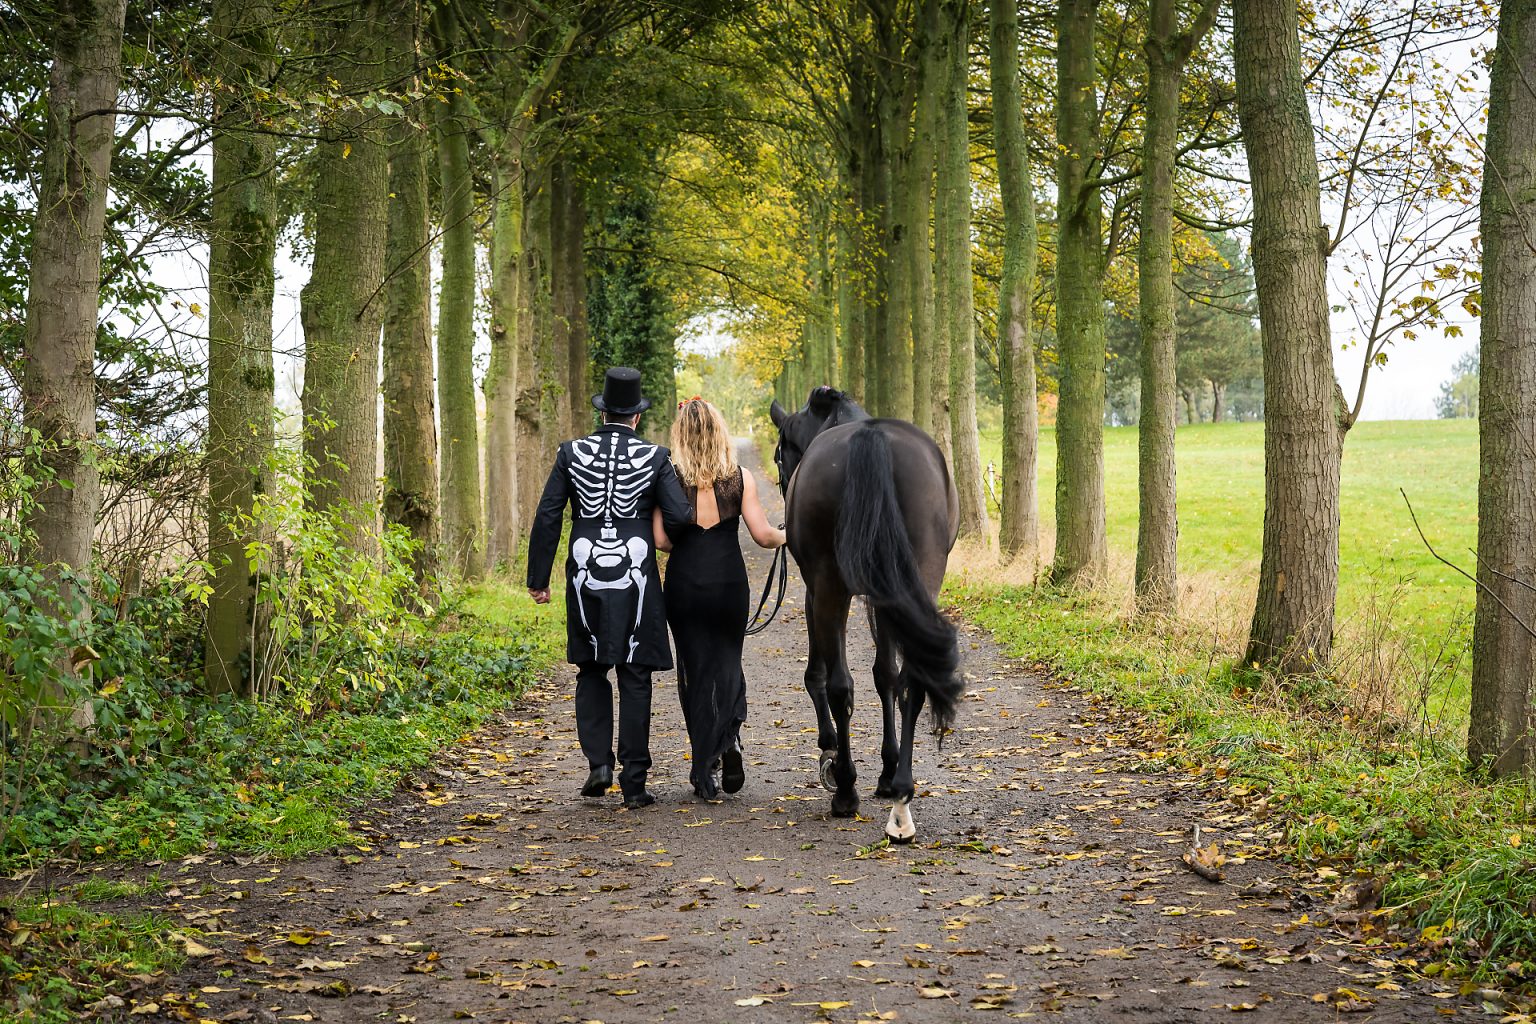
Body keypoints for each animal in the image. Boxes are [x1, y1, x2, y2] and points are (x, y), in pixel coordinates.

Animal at [768, 383, 958, 841]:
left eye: (779, 454)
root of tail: (871, 440)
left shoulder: (814, 592)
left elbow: (819, 676)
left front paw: (830, 755)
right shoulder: (884, 595)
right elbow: (886, 674)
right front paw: (888, 772)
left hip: (830, 586)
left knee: (840, 684)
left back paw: (846, 790)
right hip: (917, 579)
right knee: (913, 678)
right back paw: (902, 802)